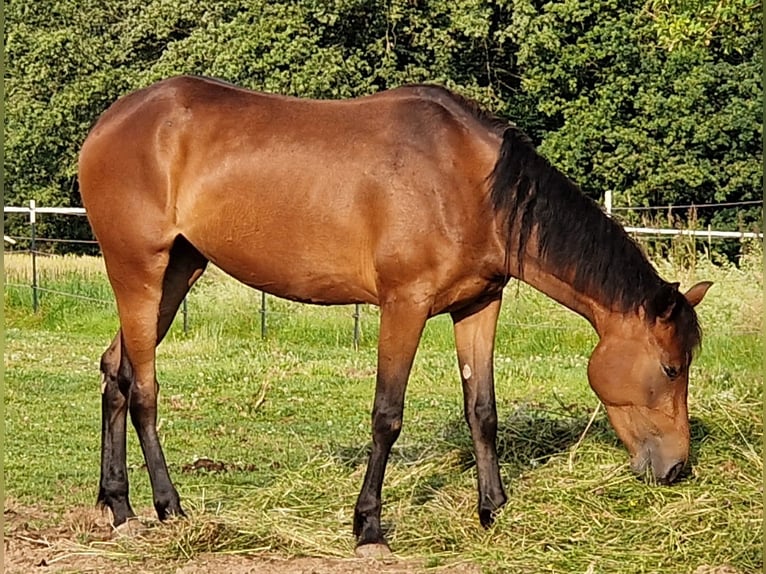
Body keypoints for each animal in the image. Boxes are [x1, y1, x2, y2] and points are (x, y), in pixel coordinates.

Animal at [79, 75, 712, 552]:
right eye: (671, 368)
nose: (677, 468)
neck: (470, 182)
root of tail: (111, 121)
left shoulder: (478, 305)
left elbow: (482, 410)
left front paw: (493, 508)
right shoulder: (403, 306)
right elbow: (387, 416)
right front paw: (369, 528)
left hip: (178, 271)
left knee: (115, 370)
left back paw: (119, 506)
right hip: (139, 270)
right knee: (144, 389)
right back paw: (169, 507)